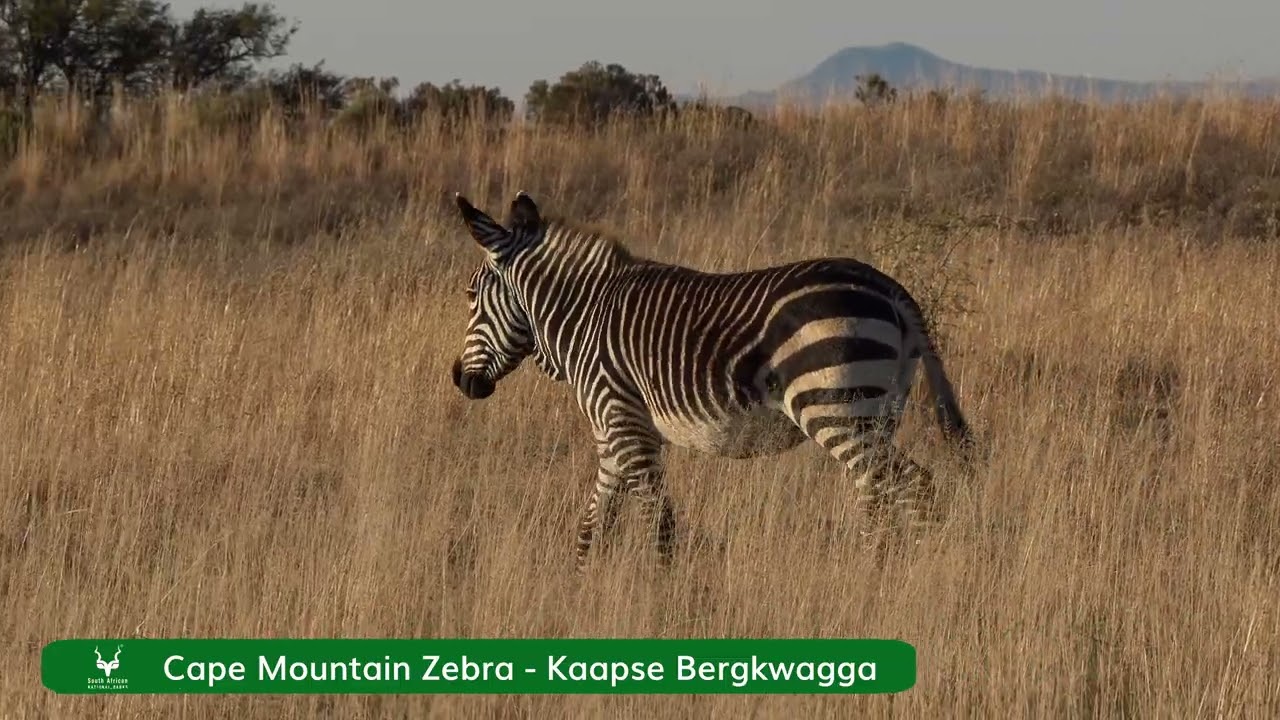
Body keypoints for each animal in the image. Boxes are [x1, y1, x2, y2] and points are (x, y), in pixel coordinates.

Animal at [449, 191, 973, 569]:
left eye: (471, 295)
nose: (459, 380)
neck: (583, 317)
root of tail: (890, 286)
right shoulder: (612, 436)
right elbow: (592, 525)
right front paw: (581, 590)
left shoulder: (626, 427)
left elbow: (659, 524)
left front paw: (661, 597)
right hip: (877, 412)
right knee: (892, 492)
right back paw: (897, 573)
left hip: (835, 407)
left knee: (900, 487)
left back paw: (884, 578)